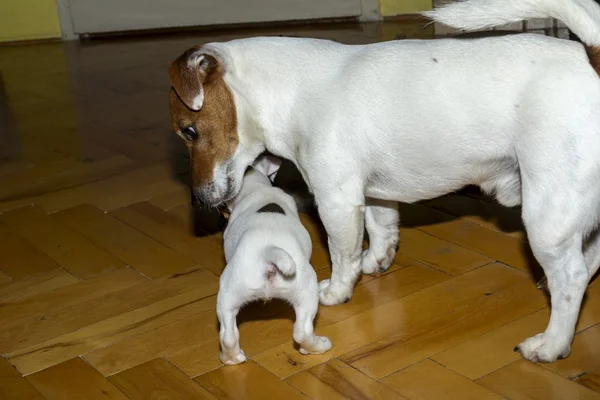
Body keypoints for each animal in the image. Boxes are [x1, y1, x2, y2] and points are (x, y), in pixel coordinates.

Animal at [216, 154, 330, 366]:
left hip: (230, 292)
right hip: (306, 290)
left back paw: (231, 358)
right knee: (302, 330)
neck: (256, 187)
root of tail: (267, 251)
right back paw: (318, 347)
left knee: (228, 335)